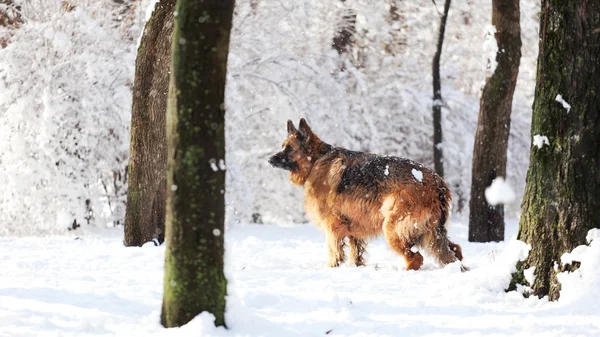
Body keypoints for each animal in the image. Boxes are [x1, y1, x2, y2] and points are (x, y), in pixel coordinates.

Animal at [268, 118, 464, 270]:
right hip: (429, 233)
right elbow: (356, 254)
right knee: (456, 250)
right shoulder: (354, 230)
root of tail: (437, 182)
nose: (270, 159)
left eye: (289, 148)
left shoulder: (332, 227)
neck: (317, 160)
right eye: (283, 146)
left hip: (392, 229)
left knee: (416, 258)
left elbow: (334, 252)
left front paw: (332, 268)